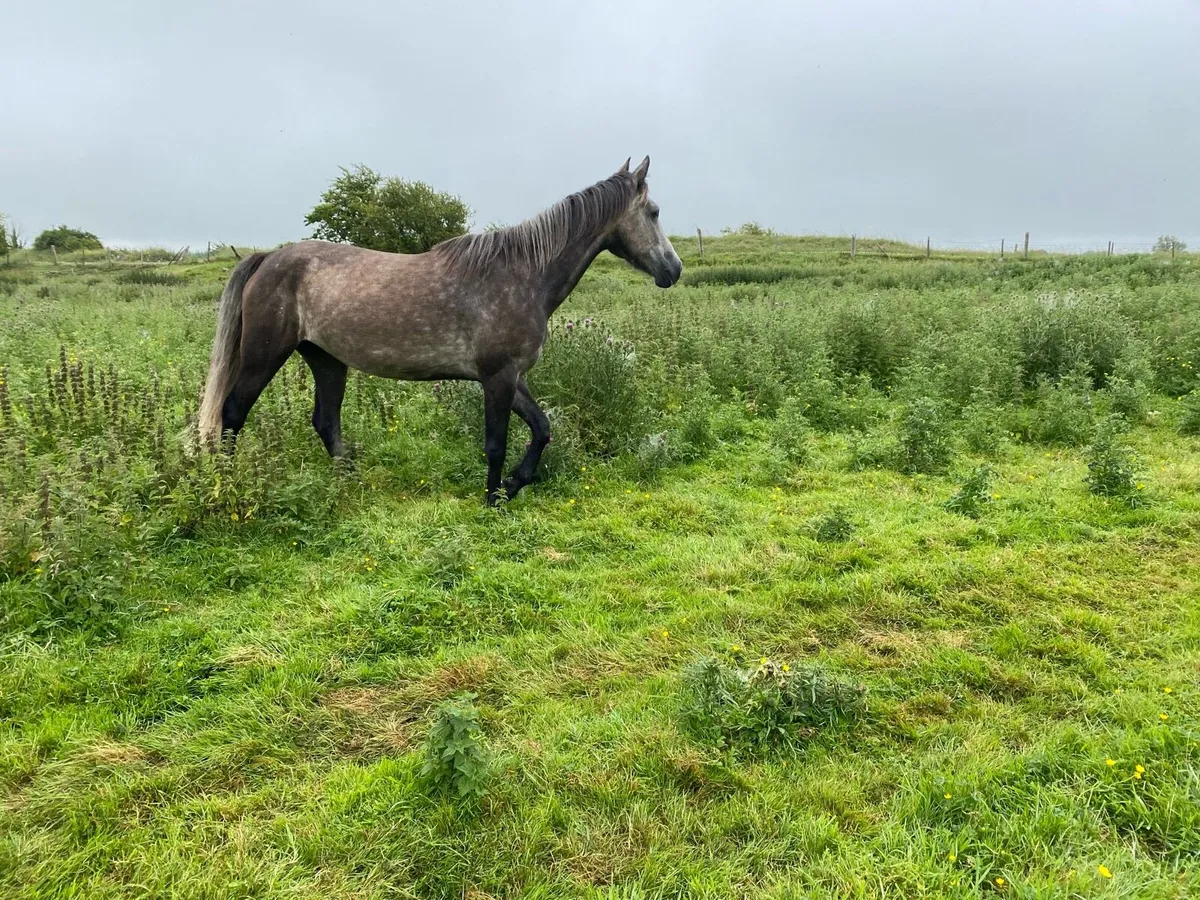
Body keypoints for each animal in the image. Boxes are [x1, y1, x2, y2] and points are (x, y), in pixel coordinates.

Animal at [197, 156, 682, 505]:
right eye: (654, 212)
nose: (673, 269)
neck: (522, 275)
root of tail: (268, 258)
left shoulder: (512, 376)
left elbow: (542, 429)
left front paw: (514, 484)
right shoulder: (498, 377)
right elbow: (495, 441)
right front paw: (493, 498)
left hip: (327, 359)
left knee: (325, 421)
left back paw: (352, 484)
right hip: (264, 355)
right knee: (232, 415)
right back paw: (229, 488)